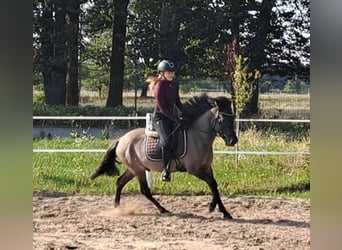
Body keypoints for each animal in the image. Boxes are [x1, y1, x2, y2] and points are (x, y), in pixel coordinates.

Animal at [90, 94, 238, 218]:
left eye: (232, 118)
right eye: (221, 119)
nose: (233, 141)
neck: (198, 136)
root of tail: (121, 139)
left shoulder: (207, 168)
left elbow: (214, 185)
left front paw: (219, 209)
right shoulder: (195, 170)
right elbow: (212, 183)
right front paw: (217, 209)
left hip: (133, 169)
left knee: (120, 182)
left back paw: (117, 208)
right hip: (138, 170)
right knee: (144, 190)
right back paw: (163, 210)